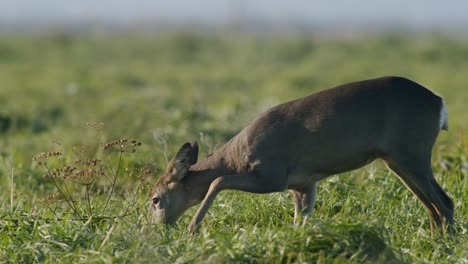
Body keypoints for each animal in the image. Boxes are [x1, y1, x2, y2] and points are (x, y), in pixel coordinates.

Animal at [149, 76, 454, 233]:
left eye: (155, 199)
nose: (155, 229)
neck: (238, 156)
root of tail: (439, 103)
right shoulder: (304, 184)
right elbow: (301, 222)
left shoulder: (272, 175)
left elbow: (217, 180)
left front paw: (192, 228)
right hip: (396, 160)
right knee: (433, 206)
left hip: (412, 154)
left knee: (445, 201)